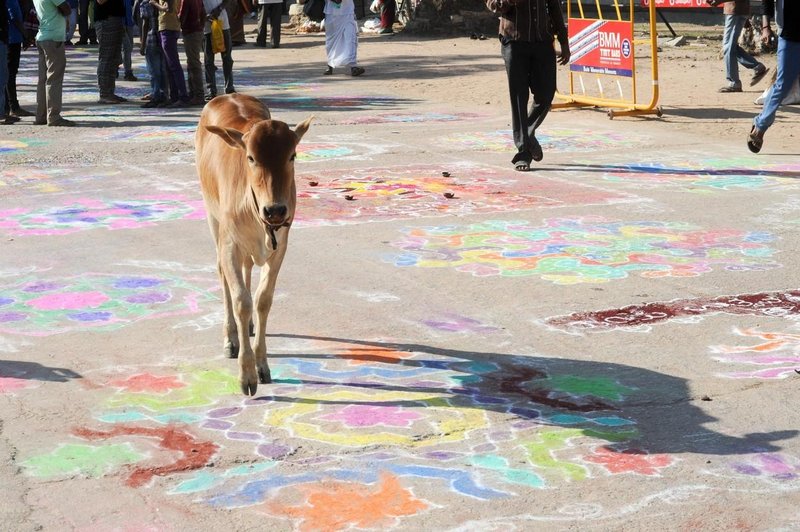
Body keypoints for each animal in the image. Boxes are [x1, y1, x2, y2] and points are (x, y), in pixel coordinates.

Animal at [197, 94, 312, 394]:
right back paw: (231, 336)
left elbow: (262, 300)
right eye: (251, 157)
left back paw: (246, 326)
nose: (276, 210)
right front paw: (246, 373)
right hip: (212, 217)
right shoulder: (229, 244)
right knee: (223, 274)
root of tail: (228, 95)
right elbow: (240, 300)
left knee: (248, 269)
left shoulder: (280, 247)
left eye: (292, 155)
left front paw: (262, 366)